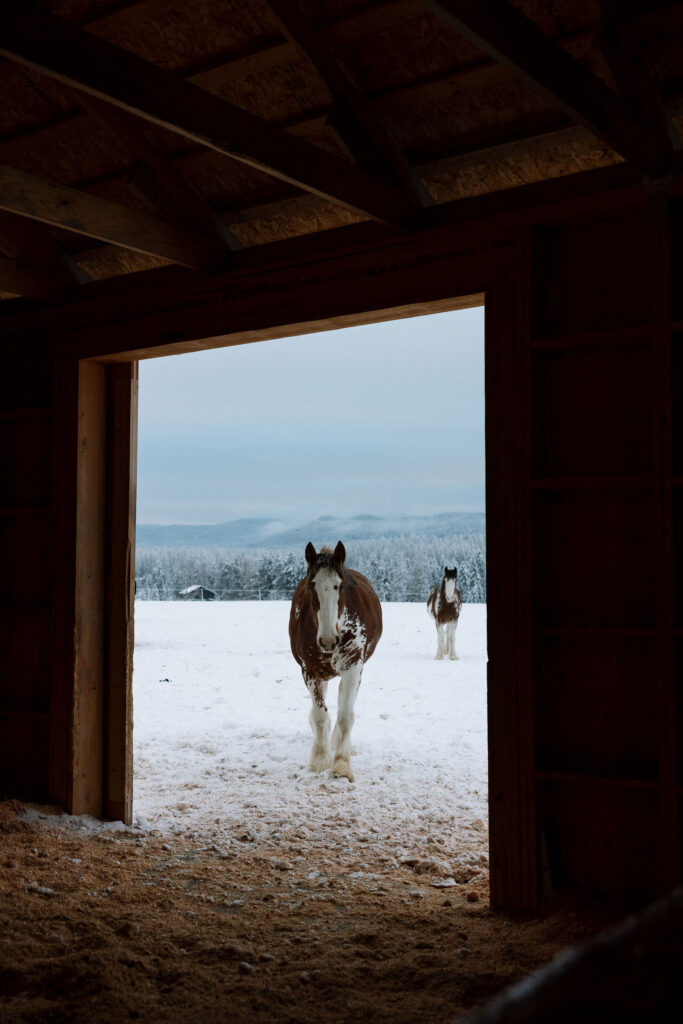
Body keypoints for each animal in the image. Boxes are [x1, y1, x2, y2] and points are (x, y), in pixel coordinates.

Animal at [289, 541, 382, 782]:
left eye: (339, 587)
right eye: (312, 586)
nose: (329, 640)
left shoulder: (353, 667)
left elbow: (346, 715)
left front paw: (341, 764)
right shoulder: (310, 671)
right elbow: (321, 716)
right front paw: (320, 760)